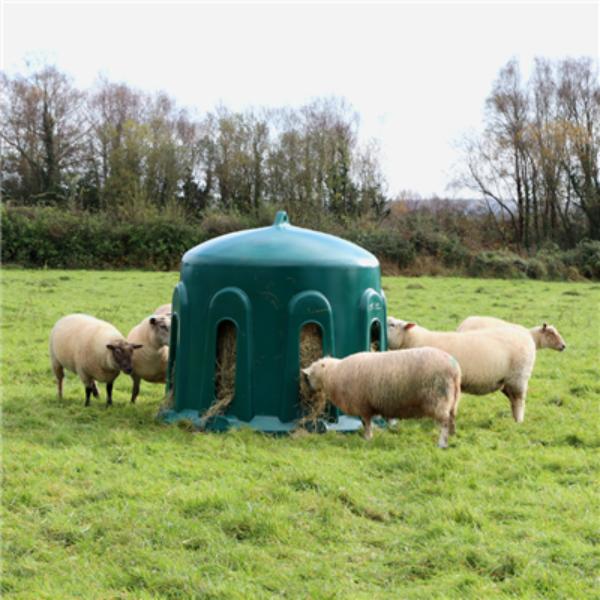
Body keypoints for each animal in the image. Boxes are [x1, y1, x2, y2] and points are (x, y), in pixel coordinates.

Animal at [302, 346, 462, 450]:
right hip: (452, 399)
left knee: (444, 422)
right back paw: (453, 435)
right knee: (452, 417)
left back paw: (442, 443)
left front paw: (367, 438)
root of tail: (455, 369)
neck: (334, 374)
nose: (309, 390)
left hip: (439, 398)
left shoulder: (363, 405)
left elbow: (366, 423)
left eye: (310, 375)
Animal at [386, 316, 536, 424]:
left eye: (392, 325)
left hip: (519, 377)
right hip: (506, 381)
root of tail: (527, 336)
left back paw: (518, 421)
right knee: (513, 400)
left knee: (519, 400)